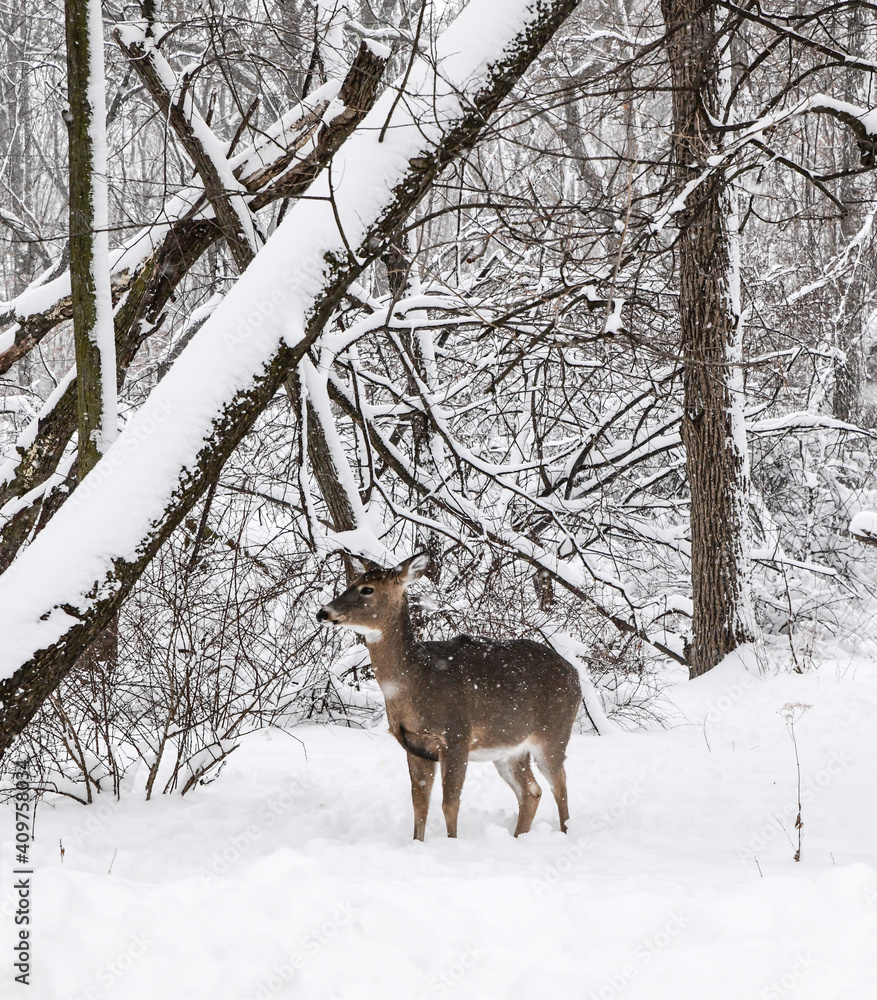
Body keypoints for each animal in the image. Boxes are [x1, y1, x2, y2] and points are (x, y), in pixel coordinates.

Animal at [316, 553, 582, 841]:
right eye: (350, 582)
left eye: (367, 589)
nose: (323, 612)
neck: (419, 678)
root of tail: (574, 674)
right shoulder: (413, 745)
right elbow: (419, 803)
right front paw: (417, 844)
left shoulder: (456, 736)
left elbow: (450, 804)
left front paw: (452, 843)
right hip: (509, 748)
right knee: (531, 791)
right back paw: (517, 838)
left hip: (553, 733)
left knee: (560, 786)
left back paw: (565, 834)